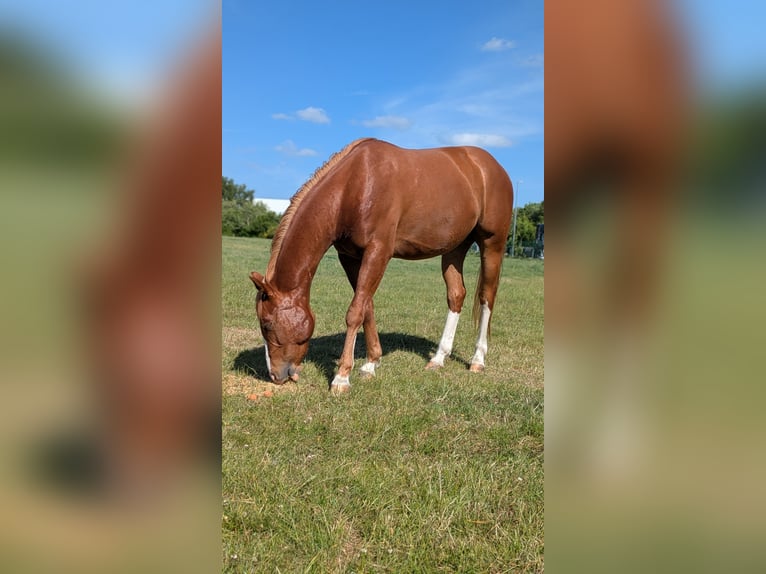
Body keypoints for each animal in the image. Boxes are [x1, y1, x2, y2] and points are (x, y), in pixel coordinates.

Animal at [249, 138, 514, 392]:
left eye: (267, 324)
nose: (276, 376)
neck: (354, 185)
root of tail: (492, 167)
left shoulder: (378, 252)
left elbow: (355, 312)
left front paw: (342, 377)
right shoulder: (350, 257)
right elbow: (367, 306)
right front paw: (371, 363)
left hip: (492, 244)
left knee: (486, 297)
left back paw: (478, 359)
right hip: (455, 247)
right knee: (456, 295)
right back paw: (438, 358)